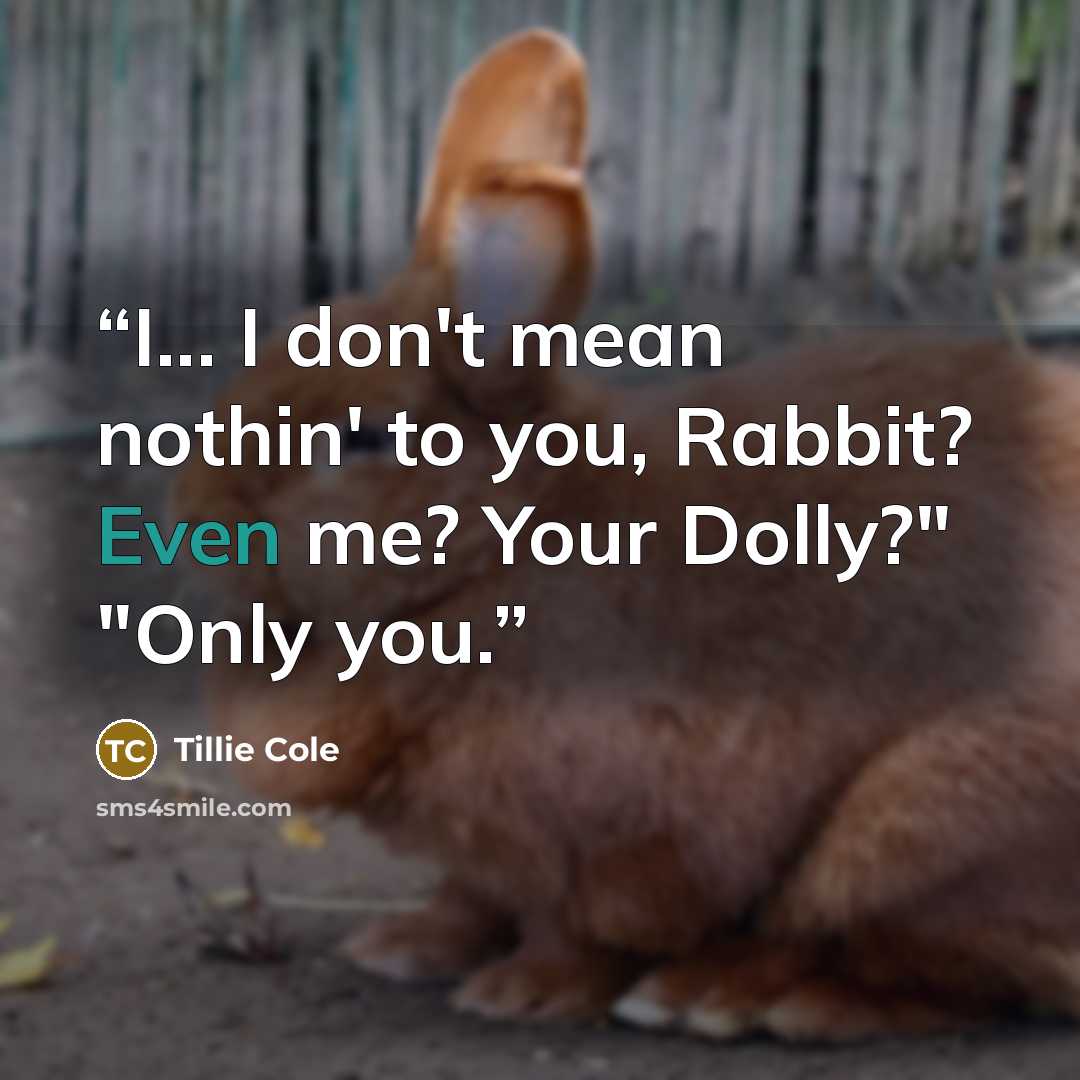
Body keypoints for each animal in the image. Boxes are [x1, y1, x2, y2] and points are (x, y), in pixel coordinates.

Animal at [175, 28, 1080, 1041]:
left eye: (362, 438)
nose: (194, 506)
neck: (499, 548)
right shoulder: (486, 853)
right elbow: (469, 897)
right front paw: (403, 948)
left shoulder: (615, 833)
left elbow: (578, 926)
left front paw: (521, 994)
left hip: (925, 823)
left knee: (915, 965)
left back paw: (729, 1001)